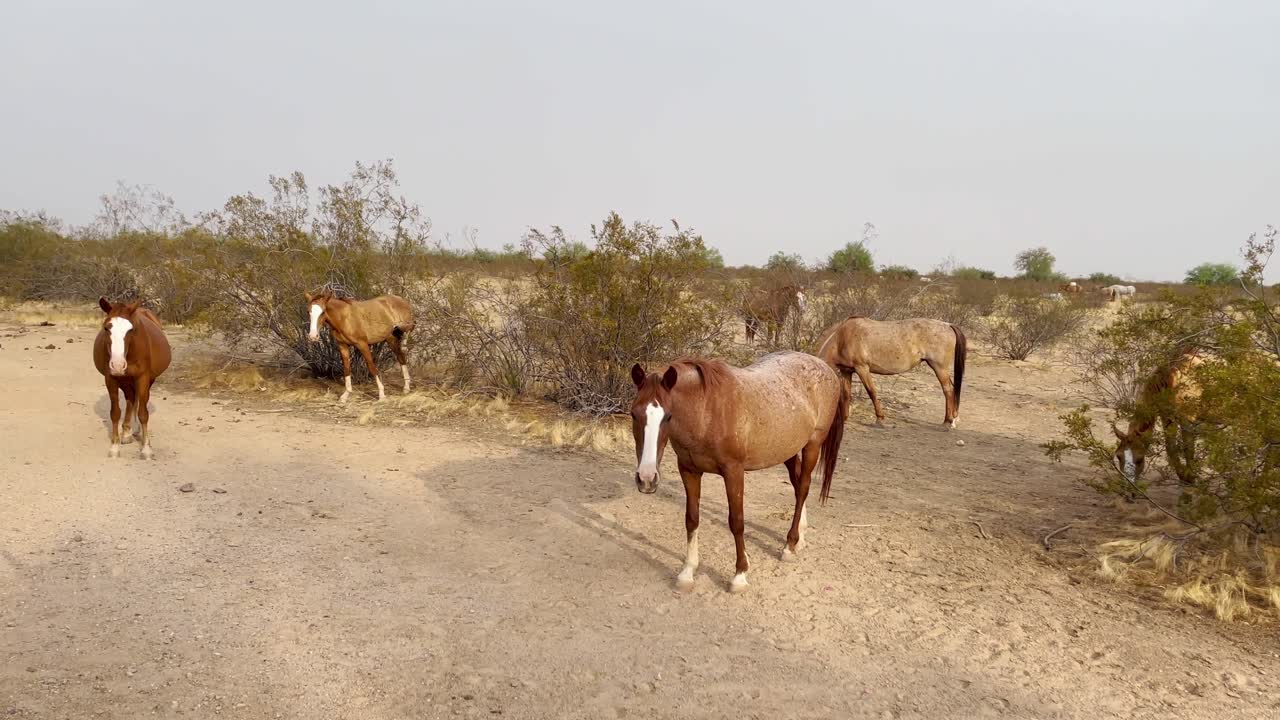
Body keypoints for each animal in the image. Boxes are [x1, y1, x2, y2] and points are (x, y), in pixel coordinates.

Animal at [93, 297, 171, 459]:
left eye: (131, 329)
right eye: (106, 328)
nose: (117, 365)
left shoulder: (142, 378)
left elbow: (143, 413)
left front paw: (146, 449)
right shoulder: (111, 379)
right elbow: (115, 413)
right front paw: (115, 447)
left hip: (146, 380)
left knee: (138, 401)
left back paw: (138, 431)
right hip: (125, 380)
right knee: (131, 399)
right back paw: (127, 432)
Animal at [629, 351, 850, 593]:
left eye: (668, 416)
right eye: (633, 414)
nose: (646, 478)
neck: (706, 409)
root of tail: (826, 368)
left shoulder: (733, 472)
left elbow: (736, 521)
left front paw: (740, 575)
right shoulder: (688, 470)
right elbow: (692, 519)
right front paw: (687, 572)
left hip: (812, 445)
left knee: (803, 488)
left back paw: (790, 545)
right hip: (788, 450)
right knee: (797, 481)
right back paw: (800, 536)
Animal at [815, 317, 967, 428]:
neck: (842, 336)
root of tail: (948, 325)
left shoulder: (862, 368)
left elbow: (872, 392)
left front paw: (880, 419)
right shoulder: (847, 371)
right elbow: (846, 394)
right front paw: (845, 418)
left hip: (939, 367)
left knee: (948, 390)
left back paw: (948, 422)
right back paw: (952, 419)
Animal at [1112, 350, 1204, 486]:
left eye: (1139, 459)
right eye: (1118, 456)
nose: (1128, 484)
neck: (1172, 379)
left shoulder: (1187, 420)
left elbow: (1189, 451)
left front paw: (1191, 478)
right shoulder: (1167, 417)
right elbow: (1171, 448)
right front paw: (1183, 476)